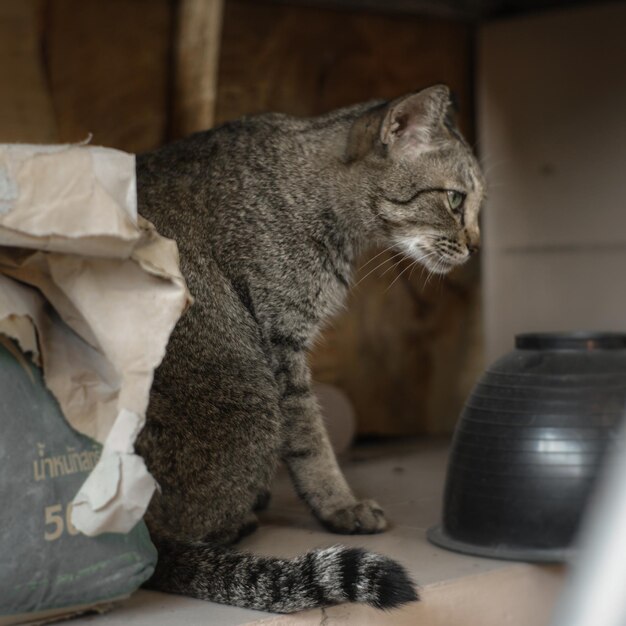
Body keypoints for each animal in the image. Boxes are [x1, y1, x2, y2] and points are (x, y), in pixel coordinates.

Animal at [134, 83, 482, 608]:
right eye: (456, 199)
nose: (476, 246)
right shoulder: (281, 343)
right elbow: (312, 444)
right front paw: (339, 506)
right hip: (252, 392)